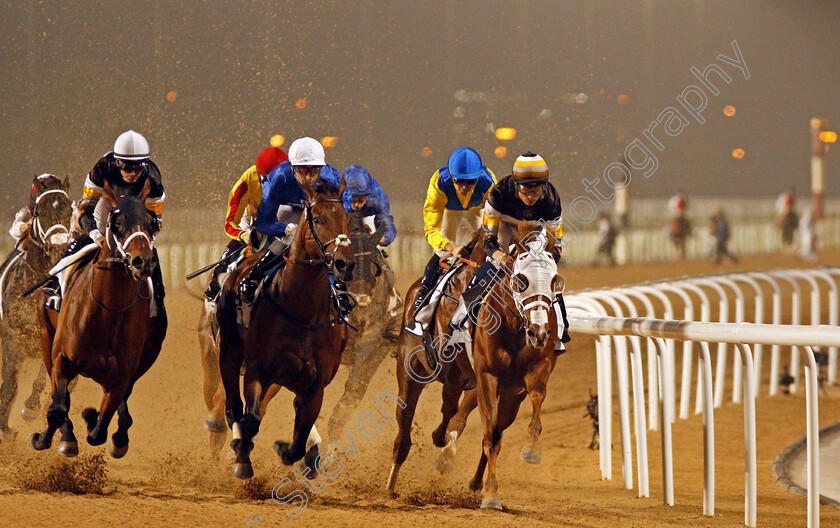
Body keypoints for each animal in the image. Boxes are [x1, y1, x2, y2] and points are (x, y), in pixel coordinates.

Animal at [0, 175, 72, 440]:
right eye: (39, 210)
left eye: (68, 207)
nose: (60, 245)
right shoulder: (13, 337)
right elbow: (10, 385)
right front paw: (5, 430)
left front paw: (30, 407)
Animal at [217, 177, 354, 478]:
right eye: (317, 218)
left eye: (346, 217)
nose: (344, 263)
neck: (302, 313)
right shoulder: (257, 369)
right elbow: (250, 418)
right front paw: (242, 458)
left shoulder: (315, 386)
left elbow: (298, 442)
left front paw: (289, 450)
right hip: (229, 349)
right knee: (234, 407)